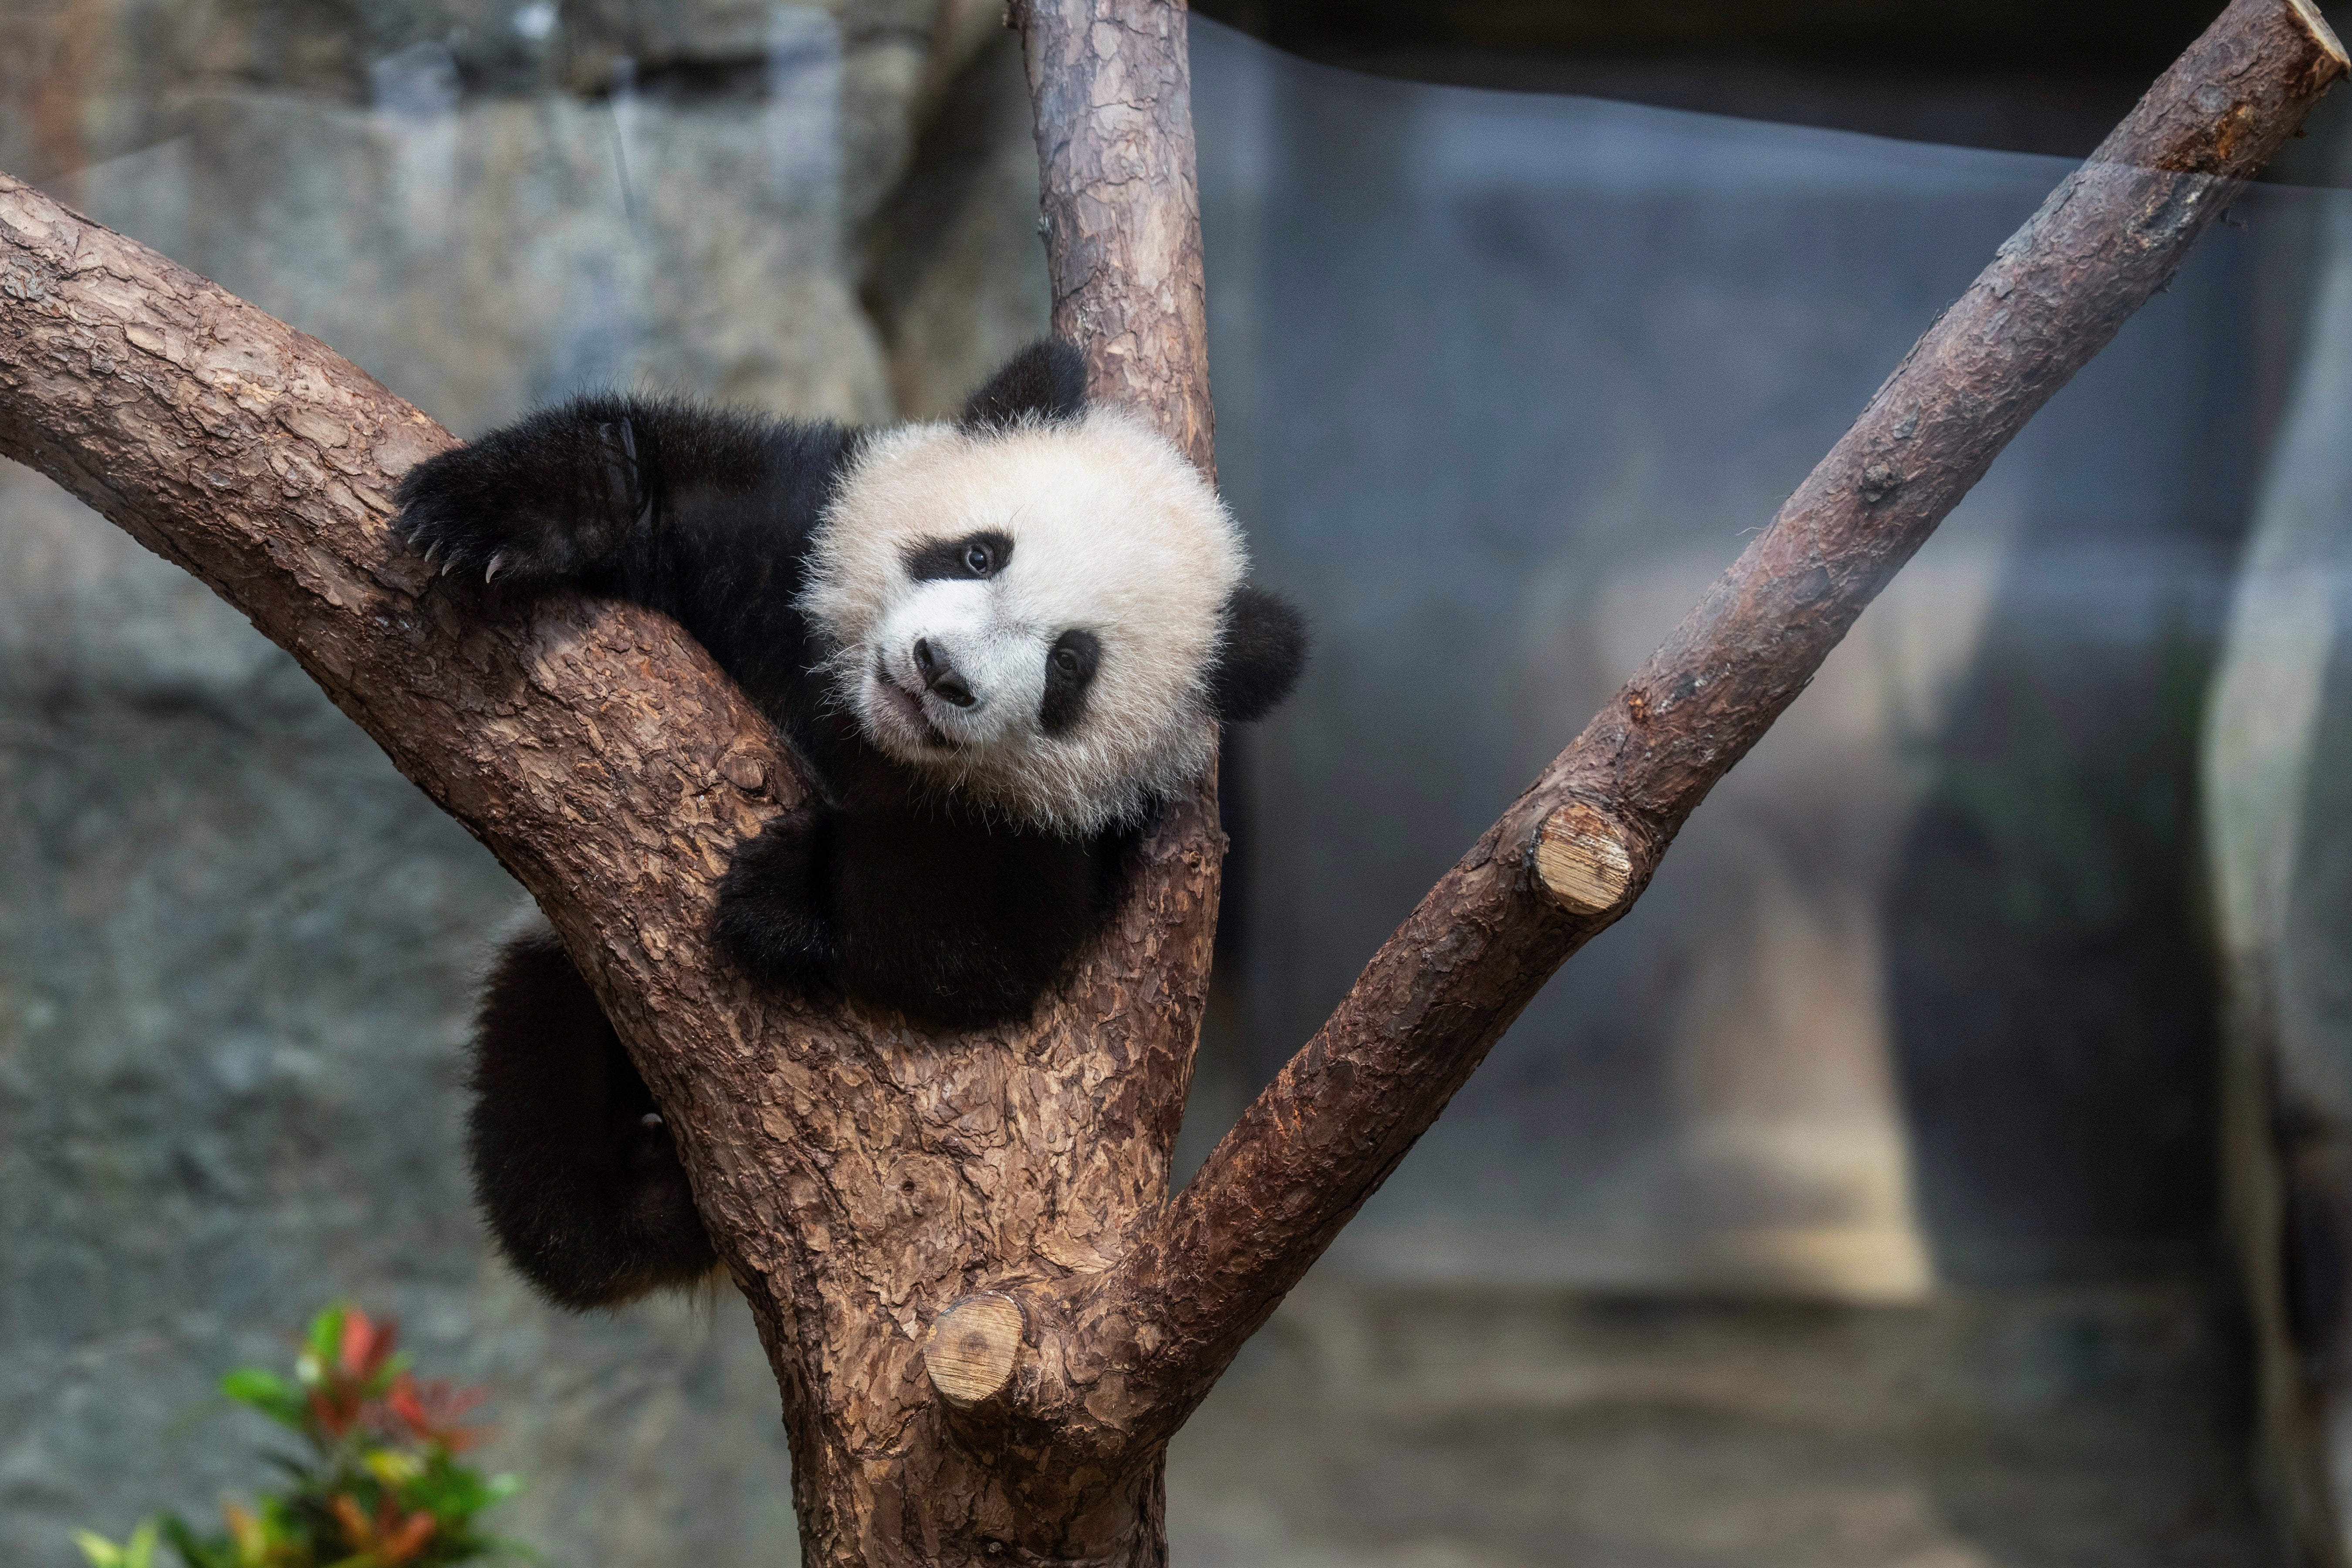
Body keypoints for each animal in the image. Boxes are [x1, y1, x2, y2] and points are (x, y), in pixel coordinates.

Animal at [394, 340, 1307, 1309]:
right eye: (979, 553)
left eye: (1070, 663)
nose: (940, 671)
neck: (869, 732)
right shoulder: (788, 544)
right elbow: (681, 486)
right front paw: (501, 512)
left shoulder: (1082, 840)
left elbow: (977, 931)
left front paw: (786, 889)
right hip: (555, 972)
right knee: (540, 1117)